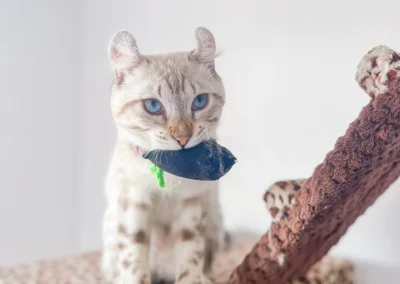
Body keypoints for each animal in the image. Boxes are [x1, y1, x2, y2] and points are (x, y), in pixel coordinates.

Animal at [101, 27, 227, 284]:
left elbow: (190, 260)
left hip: (215, 222)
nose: (183, 138)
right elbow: (134, 261)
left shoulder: (192, 204)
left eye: (200, 102)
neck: (171, 168)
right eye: (152, 106)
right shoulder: (133, 203)